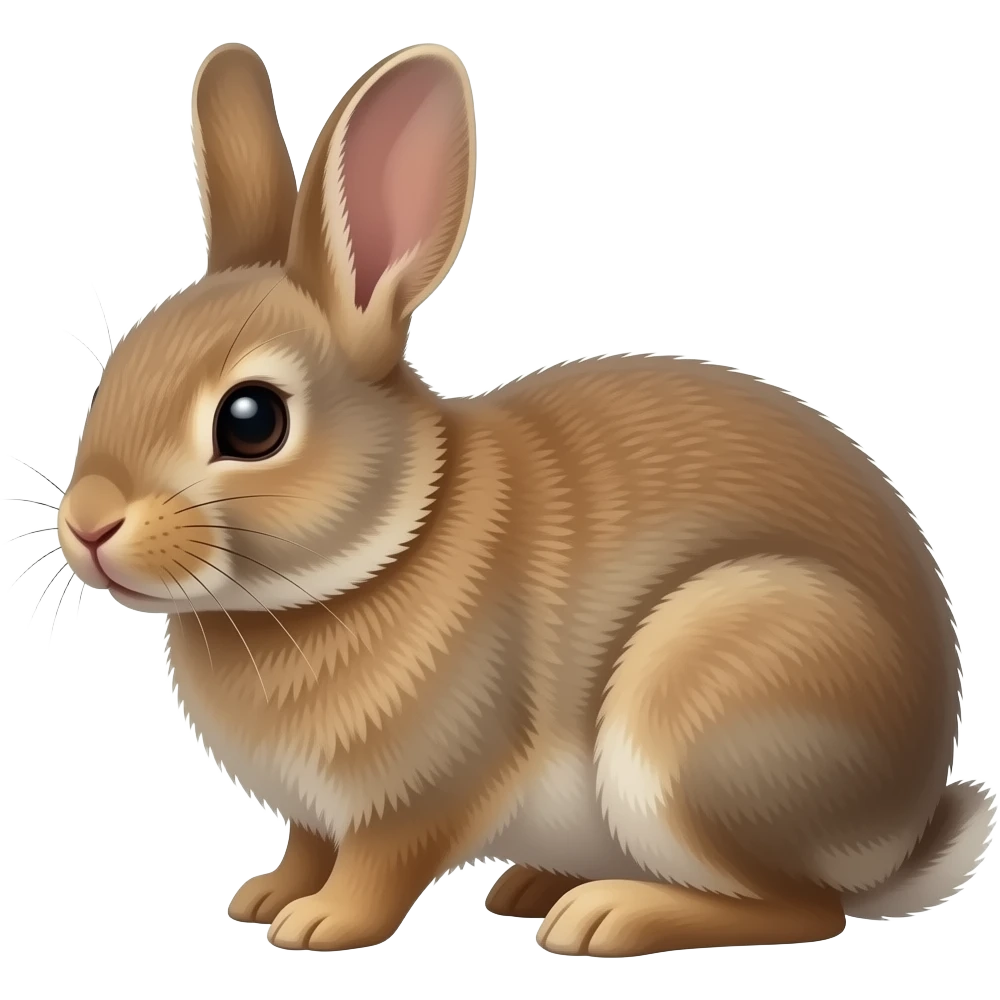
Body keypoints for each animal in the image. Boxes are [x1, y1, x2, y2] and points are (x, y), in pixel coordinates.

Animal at [55, 40, 995, 958]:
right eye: (116, 369)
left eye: (252, 421)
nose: (88, 526)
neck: (391, 540)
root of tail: (903, 830)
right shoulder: (314, 815)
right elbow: (308, 845)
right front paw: (265, 897)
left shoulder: (423, 789)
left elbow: (378, 865)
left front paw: (319, 926)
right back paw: (535, 887)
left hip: (705, 713)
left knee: (803, 909)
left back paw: (605, 917)